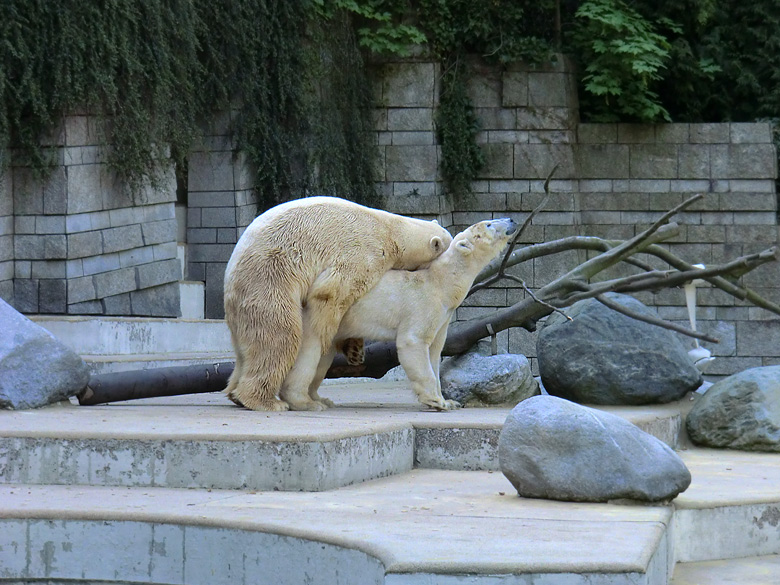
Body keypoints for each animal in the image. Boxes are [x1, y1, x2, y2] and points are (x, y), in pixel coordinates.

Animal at [221, 196, 450, 410]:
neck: (391, 230)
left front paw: (355, 350)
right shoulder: (363, 251)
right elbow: (332, 291)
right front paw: (327, 331)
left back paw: (236, 394)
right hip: (268, 278)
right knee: (281, 336)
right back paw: (267, 401)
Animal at [298, 216, 516, 410]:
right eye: (488, 224)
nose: (512, 220)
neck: (441, 283)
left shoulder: (443, 317)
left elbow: (435, 351)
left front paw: (449, 401)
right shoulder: (424, 305)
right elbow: (413, 341)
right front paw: (436, 402)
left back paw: (319, 398)